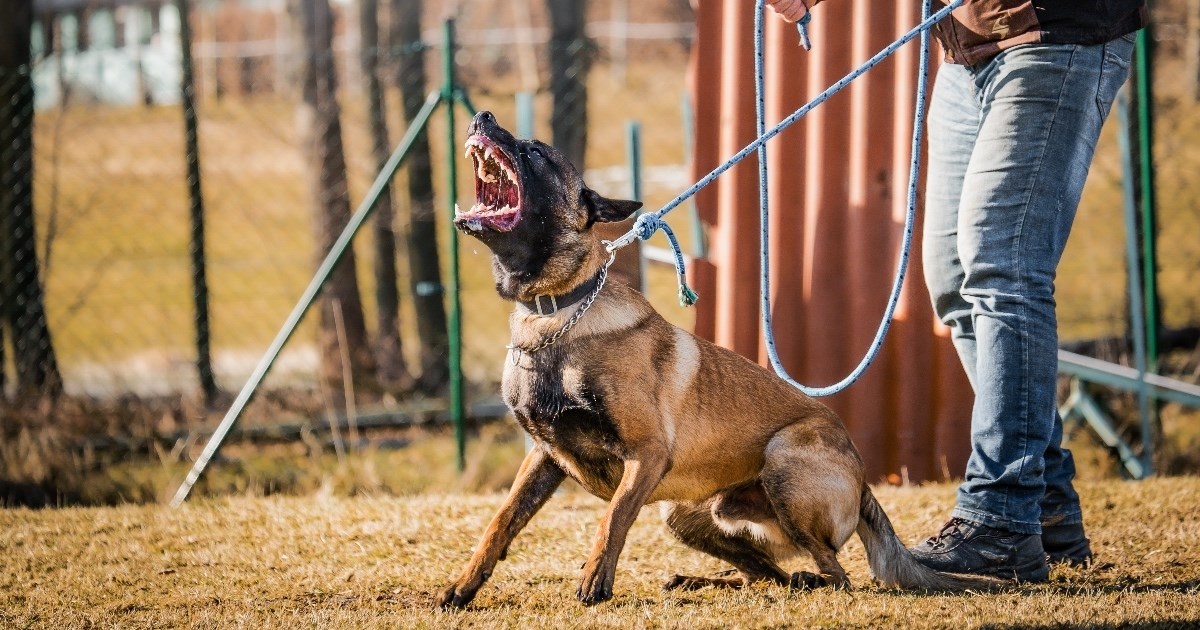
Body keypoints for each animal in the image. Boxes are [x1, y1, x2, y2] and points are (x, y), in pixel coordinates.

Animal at [436, 110, 998, 607]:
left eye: (535, 153)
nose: (482, 116)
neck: (555, 311)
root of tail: (861, 479)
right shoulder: (542, 456)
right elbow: (500, 523)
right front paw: (462, 588)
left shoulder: (646, 453)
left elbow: (611, 520)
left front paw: (595, 582)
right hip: (684, 514)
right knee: (765, 573)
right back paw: (704, 580)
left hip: (783, 464)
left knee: (835, 574)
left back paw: (805, 582)